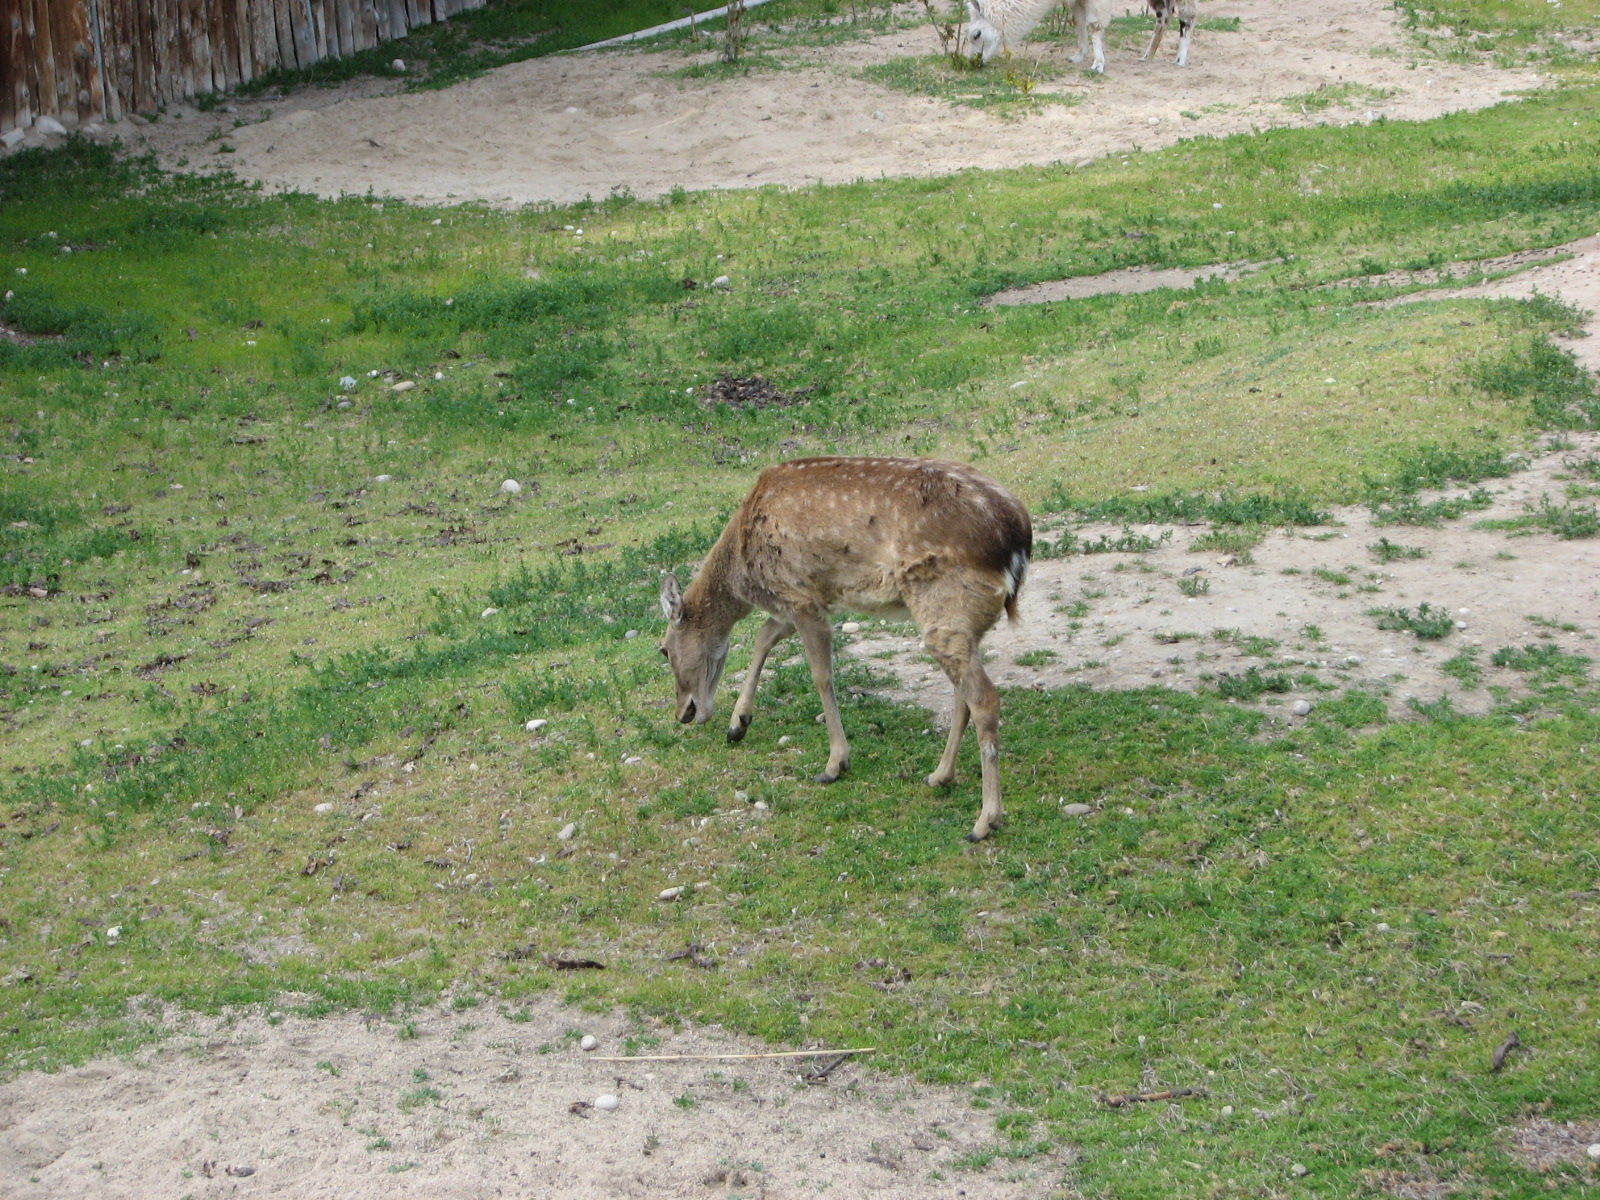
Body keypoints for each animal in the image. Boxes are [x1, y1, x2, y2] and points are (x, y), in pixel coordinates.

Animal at [659, 457, 1033, 843]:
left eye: (664, 651)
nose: (683, 712)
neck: (745, 565)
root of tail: (1019, 542)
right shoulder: (803, 600)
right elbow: (765, 637)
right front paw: (738, 724)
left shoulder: (797, 595)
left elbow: (821, 675)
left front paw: (835, 764)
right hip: (963, 622)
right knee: (964, 694)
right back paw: (940, 775)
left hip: (945, 604)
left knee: (984, 698)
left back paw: (985, 820)